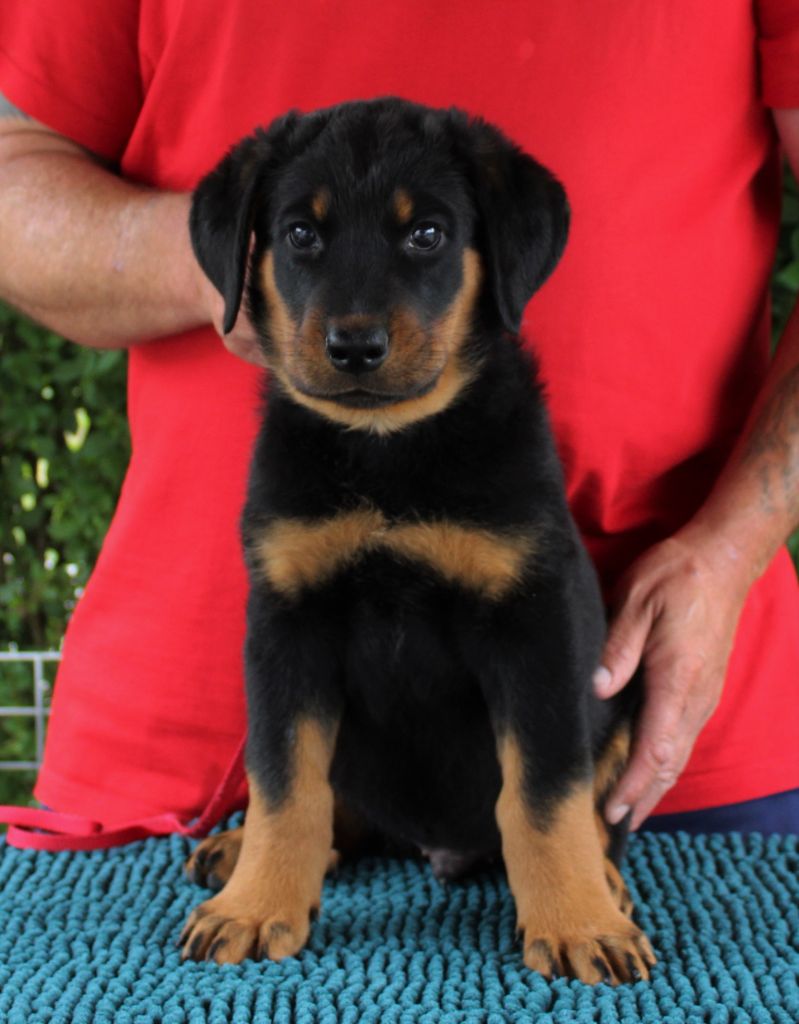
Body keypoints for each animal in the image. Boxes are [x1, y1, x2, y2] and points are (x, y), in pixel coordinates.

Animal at [179, 97, 654, 985]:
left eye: (426, 235)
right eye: (301, 234)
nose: (354, 347)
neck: (387, 450)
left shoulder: (532, 625)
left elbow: (543, 792)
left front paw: (577, 922)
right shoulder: (286, 625)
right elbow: (284, 783)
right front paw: (256, 905)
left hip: (621, 702)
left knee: (591, 814)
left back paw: (603, 883)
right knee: (336, 811)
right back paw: (235, 851)